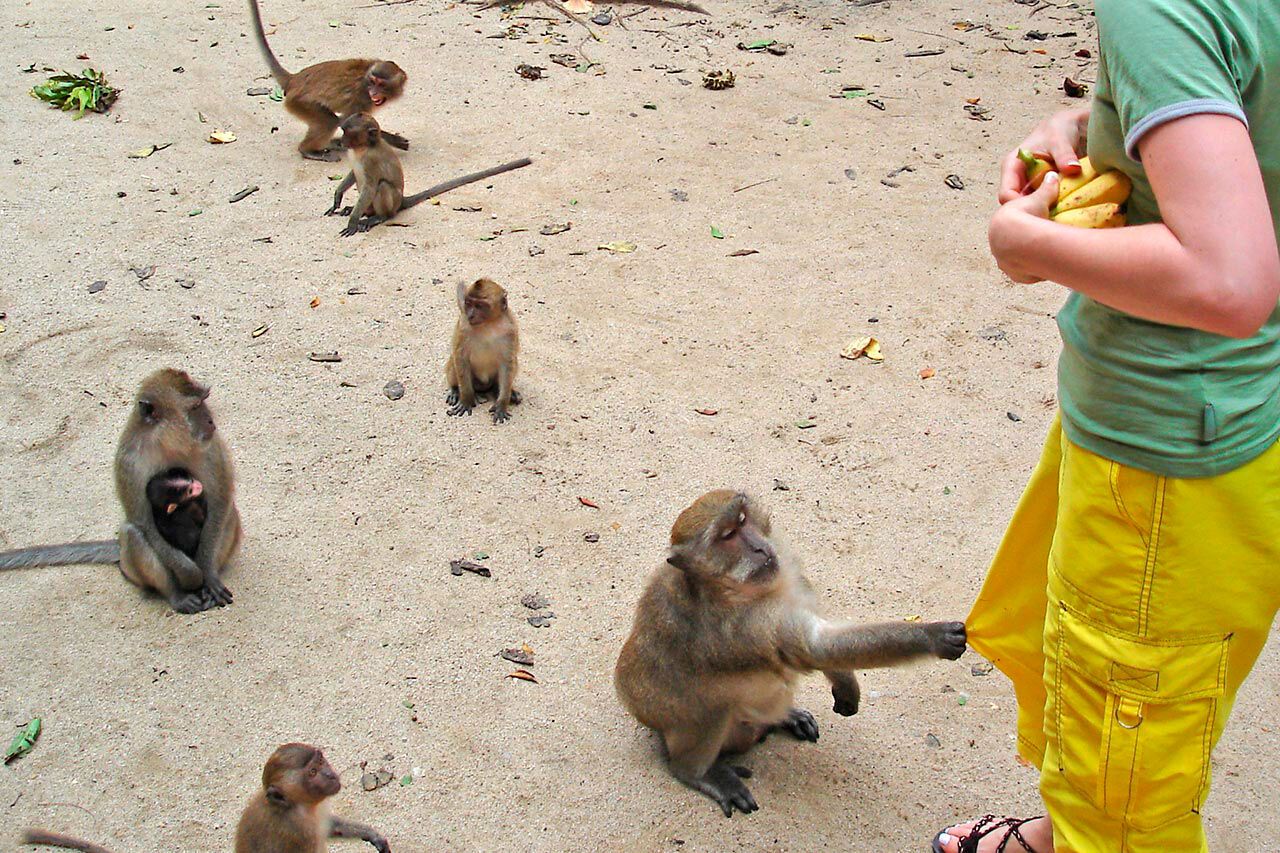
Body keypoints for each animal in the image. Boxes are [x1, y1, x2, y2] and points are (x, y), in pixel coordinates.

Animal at [0, 366, 243, 612]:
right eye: (194, 407)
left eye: (203, 401)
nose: (211, 421)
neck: (167, 441)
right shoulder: (129, 462)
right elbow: (143, 522)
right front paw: (190, 573)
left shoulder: (211, 448)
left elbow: (220, 502)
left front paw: (208, 574)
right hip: (132, 566)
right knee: (132, 533)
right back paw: (177, 595)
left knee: (228, 513)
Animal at [247, 0, 407, 161]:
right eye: (373, 82)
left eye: (381, 84)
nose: (373, 93)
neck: (366, 77)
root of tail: (294, 79)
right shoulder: (361, 100)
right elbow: (346, 121)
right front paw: (394, 140)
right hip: (299, 102)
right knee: (329, 122)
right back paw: (308, 150)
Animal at [325, 111, 535, 235]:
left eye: (348, 132)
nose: (342, 141)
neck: (363, 148)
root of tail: (401, 201)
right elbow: (354, 174)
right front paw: (338, 197)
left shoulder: (371, 159)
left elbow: (370, 186)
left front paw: (353, 222)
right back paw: (356, 210)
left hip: (392, 202)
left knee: (383, 186)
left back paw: (380, 216)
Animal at [440, 277, 519, 420]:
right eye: (469, 303)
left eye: (480, 306)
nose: (470, 315)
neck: (488, 324)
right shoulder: (463, 326)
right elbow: (461, 358)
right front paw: (466, 400)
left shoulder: (510, 330)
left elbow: (508, 363)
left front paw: (502, 403)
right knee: (455, 361)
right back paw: (456, 390)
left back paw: (503, 391)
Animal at [614, 489, 962, 814]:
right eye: (727, 537)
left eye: (743, 520)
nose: (758, 547)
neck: (730, 590)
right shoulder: (750, 624)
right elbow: (817, 646)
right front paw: (933, 635)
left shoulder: (787, 569)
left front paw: (846, 686)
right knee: (713, 705)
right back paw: (695, 771)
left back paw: (785, 717)